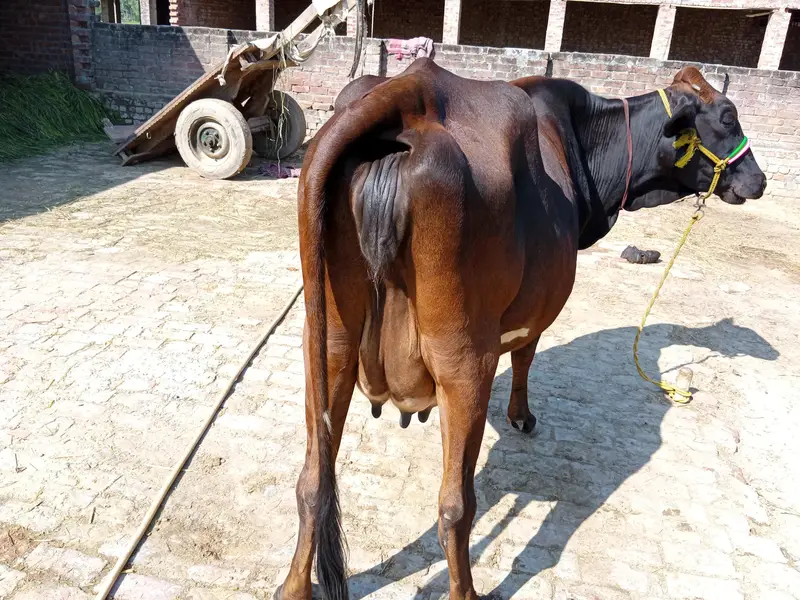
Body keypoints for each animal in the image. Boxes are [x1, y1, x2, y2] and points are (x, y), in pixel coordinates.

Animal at [273, 60, 766, 600]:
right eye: (727, 116)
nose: (759, 179)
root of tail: (409, 91)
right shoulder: (538, 309)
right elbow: (526, 355)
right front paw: (522, 416)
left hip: (327, 344)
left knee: (312, 481)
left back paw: (293, 586)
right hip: (465, 360)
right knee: (455, 505)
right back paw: (466, 591)